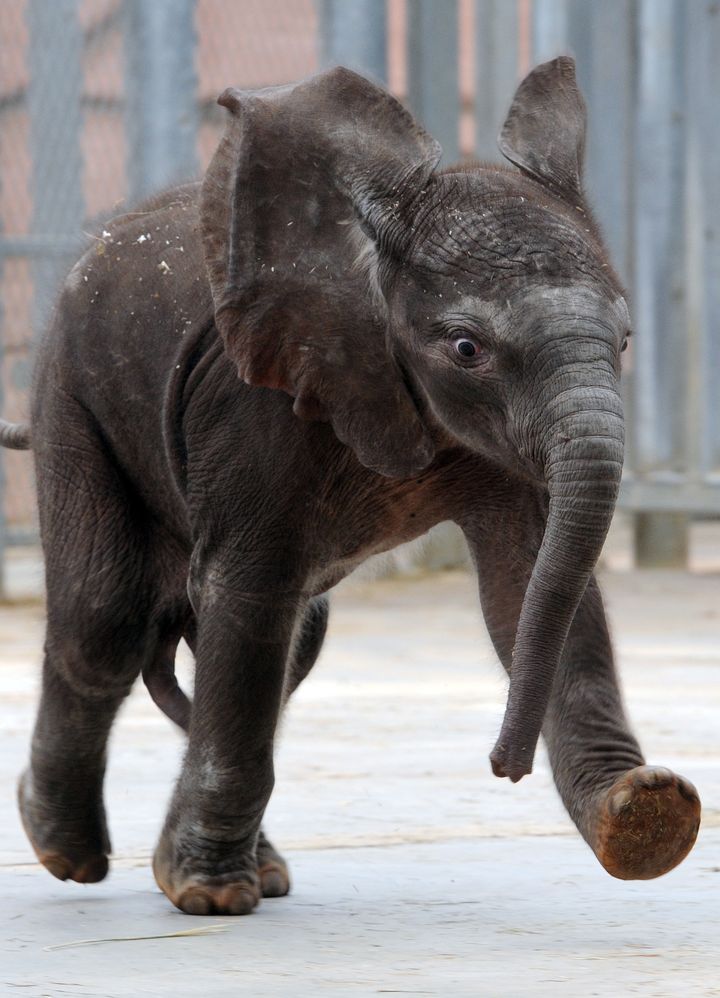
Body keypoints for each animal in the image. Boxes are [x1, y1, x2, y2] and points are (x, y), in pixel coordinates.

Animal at [2, 54, 700, 916]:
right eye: (466, 347)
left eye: (626, 340)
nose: (502, 766)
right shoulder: (254, 399)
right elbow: (248, 591)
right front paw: (210, 898)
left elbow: (529, 581)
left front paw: (645, 818)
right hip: (72, 395)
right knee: (103, 624)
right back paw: (70, 852)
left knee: (286, 651)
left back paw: (251, 867)